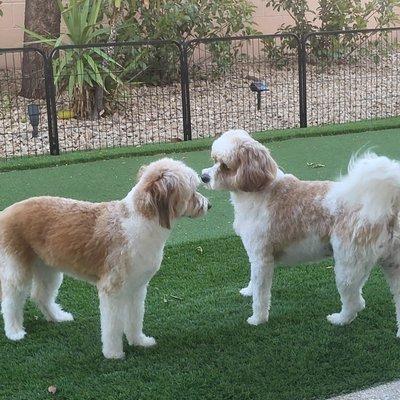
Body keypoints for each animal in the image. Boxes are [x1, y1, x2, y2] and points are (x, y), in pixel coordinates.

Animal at [0, 158, 209, 358]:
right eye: (192, 191)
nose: (209, 205)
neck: (139, 223)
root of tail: (5, 213)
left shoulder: (136, 288)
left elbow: (135, 318)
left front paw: (139, 341)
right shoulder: (112, 290)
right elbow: (112, 327)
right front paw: (114, 354)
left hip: (48, 268)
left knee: (40, 295)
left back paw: (58, 317)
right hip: (17, 269)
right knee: (10, 301)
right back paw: (14, 332)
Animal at [202, 129, 400, 334]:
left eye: (225, 166)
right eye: (214, 159)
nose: (204, 177)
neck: (260, 189)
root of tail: (388, 208)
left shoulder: (262, 258)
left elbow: (261, 294)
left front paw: (258, 319)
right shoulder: (254, 257)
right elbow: (253, 282)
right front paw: (248, 290)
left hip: (348, 265)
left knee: (355, 303)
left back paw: (339, 319)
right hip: (391, 266)